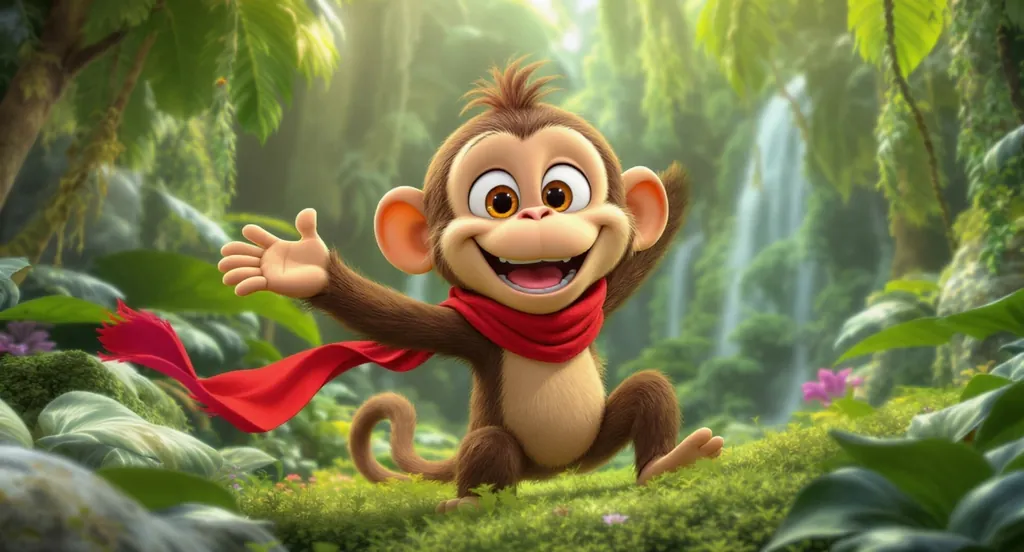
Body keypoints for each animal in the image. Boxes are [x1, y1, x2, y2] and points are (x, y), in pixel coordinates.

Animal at [98, 57, 724, 515]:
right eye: (499, 200)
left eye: (559, 193)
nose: (536, 216)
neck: (541, 322)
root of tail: (552, 470)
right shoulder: (467, 332)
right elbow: (397, 320)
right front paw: (300, 264)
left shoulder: (603, 299)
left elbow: (640, 261)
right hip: (499, 448)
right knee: (489, 448)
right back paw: (471, 504)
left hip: (594, 441)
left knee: (650, 389)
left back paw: (666, 464)